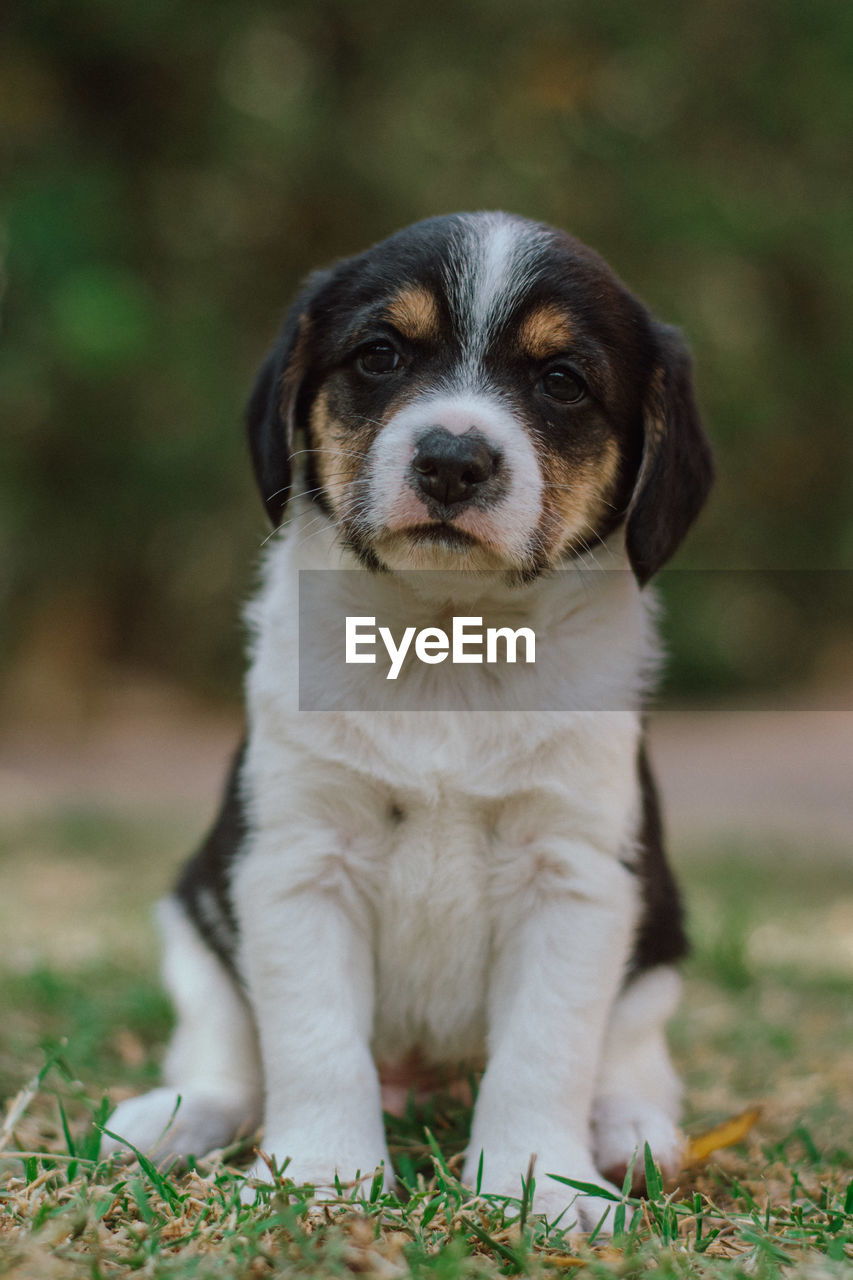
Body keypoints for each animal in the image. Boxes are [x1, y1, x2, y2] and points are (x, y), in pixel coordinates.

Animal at [104, 212, 712, 1228]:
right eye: (379, 355)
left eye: (561, 381)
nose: (453, 462)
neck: (446, 645)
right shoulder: (298, 862)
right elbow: (316, 1048)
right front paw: (316, 1176)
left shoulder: (575, 879)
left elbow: (542, 1055)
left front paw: (538, 1185)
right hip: (195, 916)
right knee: (230, 1054)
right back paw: (175, 1118)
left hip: (657, 938)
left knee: (628, 1058)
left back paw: (629, 1133)